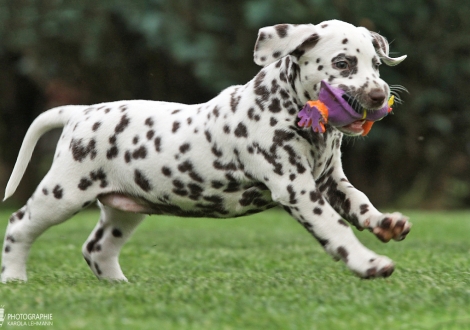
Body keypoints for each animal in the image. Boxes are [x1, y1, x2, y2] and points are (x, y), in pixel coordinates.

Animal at [1, 19, 410, 282]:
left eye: (376, 64)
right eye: (343, 63)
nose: (379, 96)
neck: (286, 106)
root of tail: (80, 112)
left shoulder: (330, 182)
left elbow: (359, 203)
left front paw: (385, 223)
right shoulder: (297, 189)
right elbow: (335, 229)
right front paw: (368, 263)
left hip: (124, 208)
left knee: (96, 249)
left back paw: (121, 288)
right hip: (63, 194)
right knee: (19, 224)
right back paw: (15, 278)